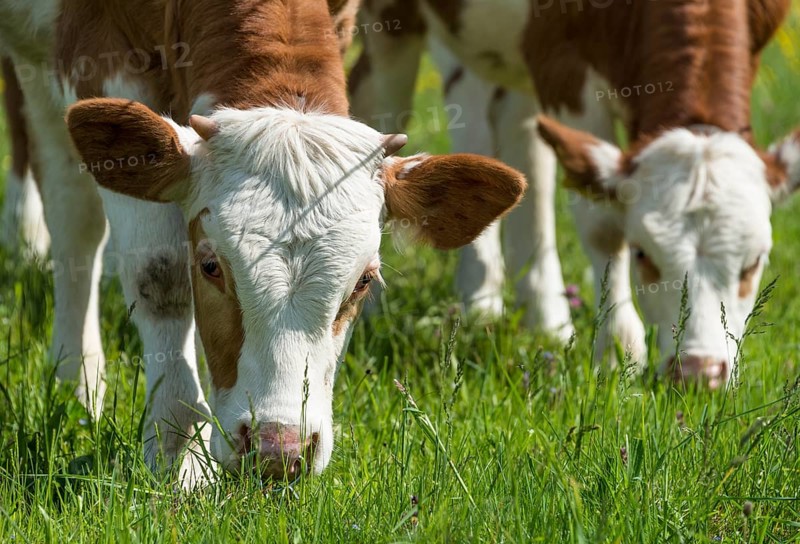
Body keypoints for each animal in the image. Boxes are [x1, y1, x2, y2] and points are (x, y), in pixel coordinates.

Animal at [0, 0, 525, 484]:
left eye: (364, 282)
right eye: (210, 267)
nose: (279, 448)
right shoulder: (96, 47)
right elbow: (159, 274)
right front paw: (179, 454)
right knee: (71, 209)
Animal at [350, 0, 799, 388]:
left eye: (755, 262)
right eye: (642, 255)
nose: (699, 374)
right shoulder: (562, 61)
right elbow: (603, 226)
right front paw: (618, 353)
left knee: (500, 126)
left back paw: (520, 311)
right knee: (380, 95)